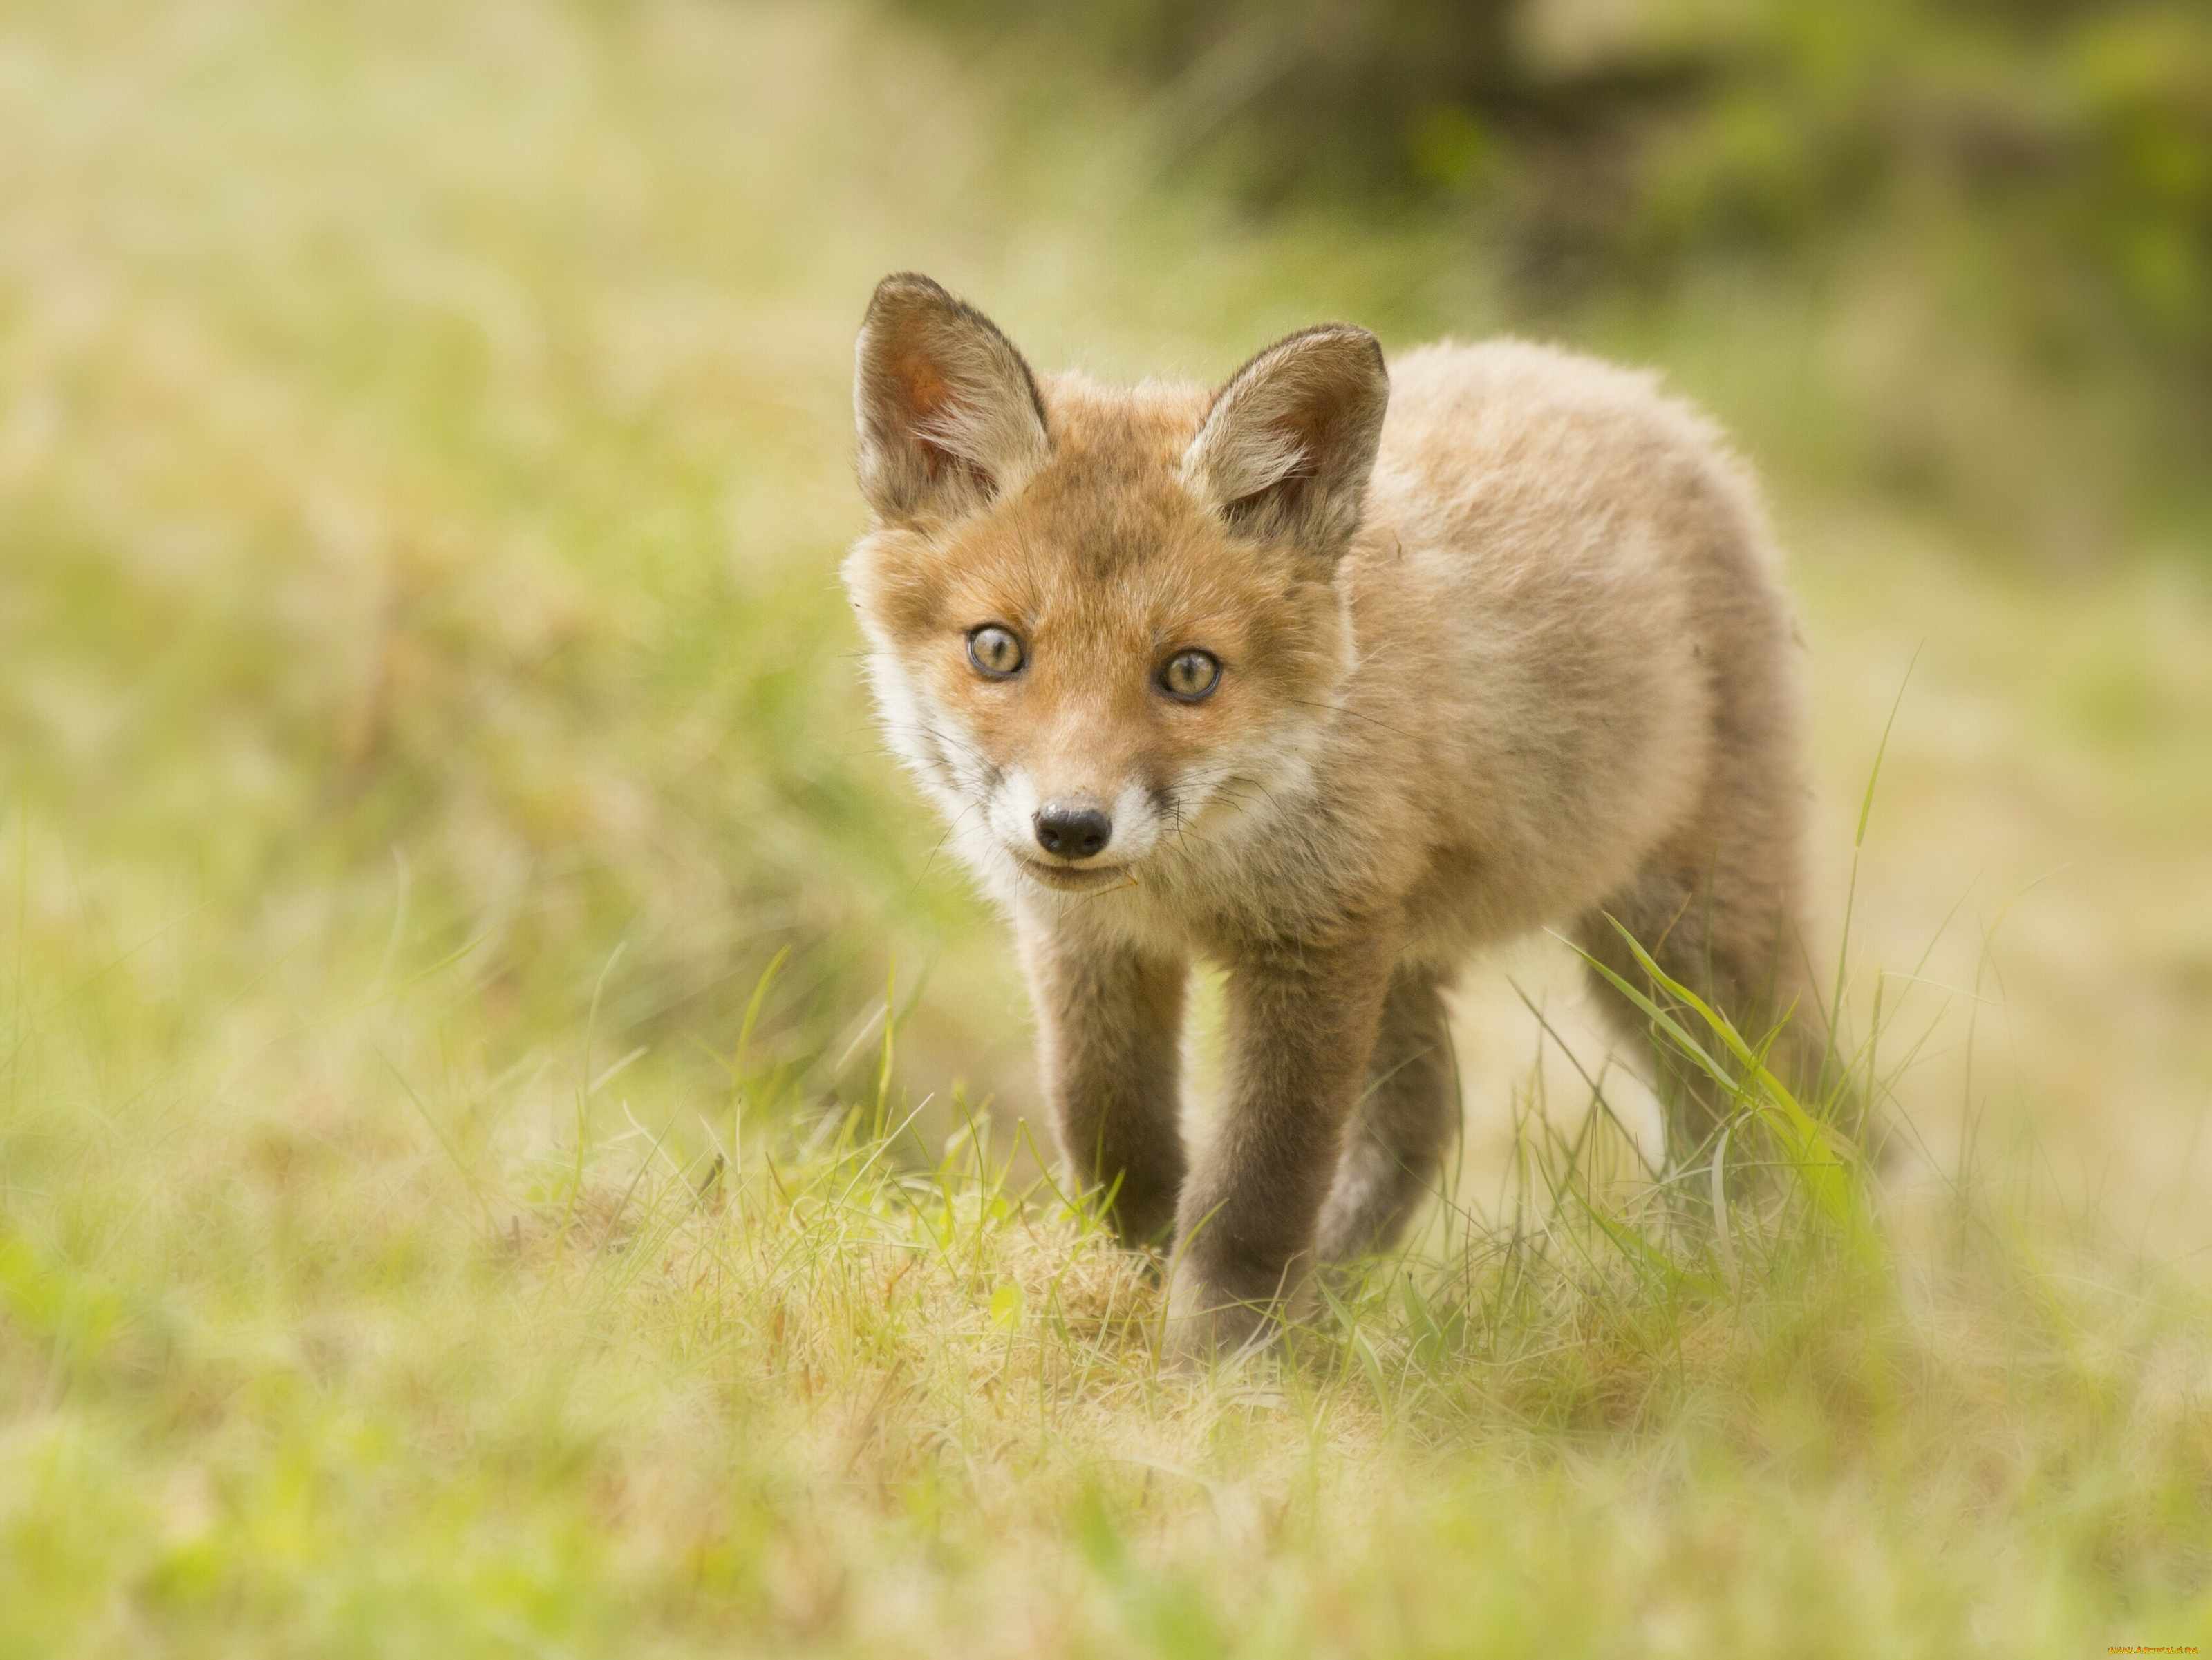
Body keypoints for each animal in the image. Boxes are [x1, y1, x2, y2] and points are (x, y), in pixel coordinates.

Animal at [841, 276, 1831, 1361]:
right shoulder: (1092, 941)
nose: (1069, 826)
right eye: (997, 649)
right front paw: (1133, 1291)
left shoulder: (1315, 940)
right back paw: (1334, 1297)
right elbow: (1118, 1139)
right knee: (1427, 1116)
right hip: (1422, 954)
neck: (1196, 873)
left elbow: (1255, 1187)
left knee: (1767, 1103)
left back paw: (1755, 1278)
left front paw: (1220, 1360)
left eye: (1189, 672)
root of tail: (1628, 387)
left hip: (1677, 947)